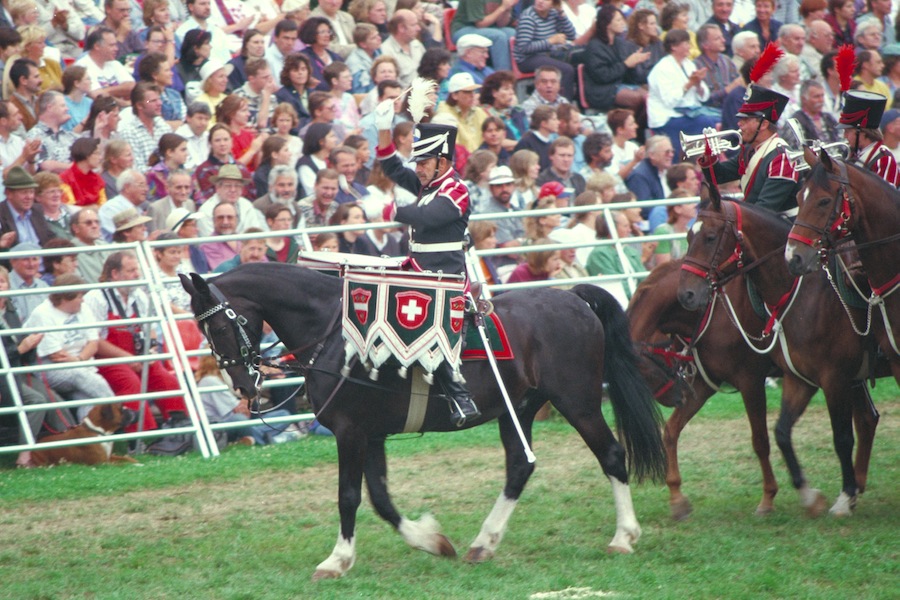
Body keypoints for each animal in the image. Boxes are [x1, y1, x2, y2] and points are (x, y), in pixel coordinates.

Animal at [179, 264, 664, 580]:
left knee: (612, 455)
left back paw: (624, 536)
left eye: (219, 327)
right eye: (205, 331)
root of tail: (572, 297)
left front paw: (336, 560)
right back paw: (482, 543)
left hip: (578, 403)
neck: (335, 336)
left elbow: (349, 497)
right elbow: (380, 499)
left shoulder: (351, 433)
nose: (245, 386)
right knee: (519, 467)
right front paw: (431, 540)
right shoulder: (370, 434)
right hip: (519, 410)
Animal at [624, 262, 780, 520]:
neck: (710, 310)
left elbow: (760, 441)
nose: (674, 397)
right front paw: (677, 498)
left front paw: (768, 497)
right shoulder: (704, 383)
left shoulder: (751, 381)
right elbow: (671, 431)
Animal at [680, 188, 884, 516]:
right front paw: (810, 495)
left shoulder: (832, 380)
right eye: (689, 235)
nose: (686, 294)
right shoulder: (800, 379)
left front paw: (841, 497)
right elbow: (781, 433)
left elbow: (840, 437)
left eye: (710, 237)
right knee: (867, 420)